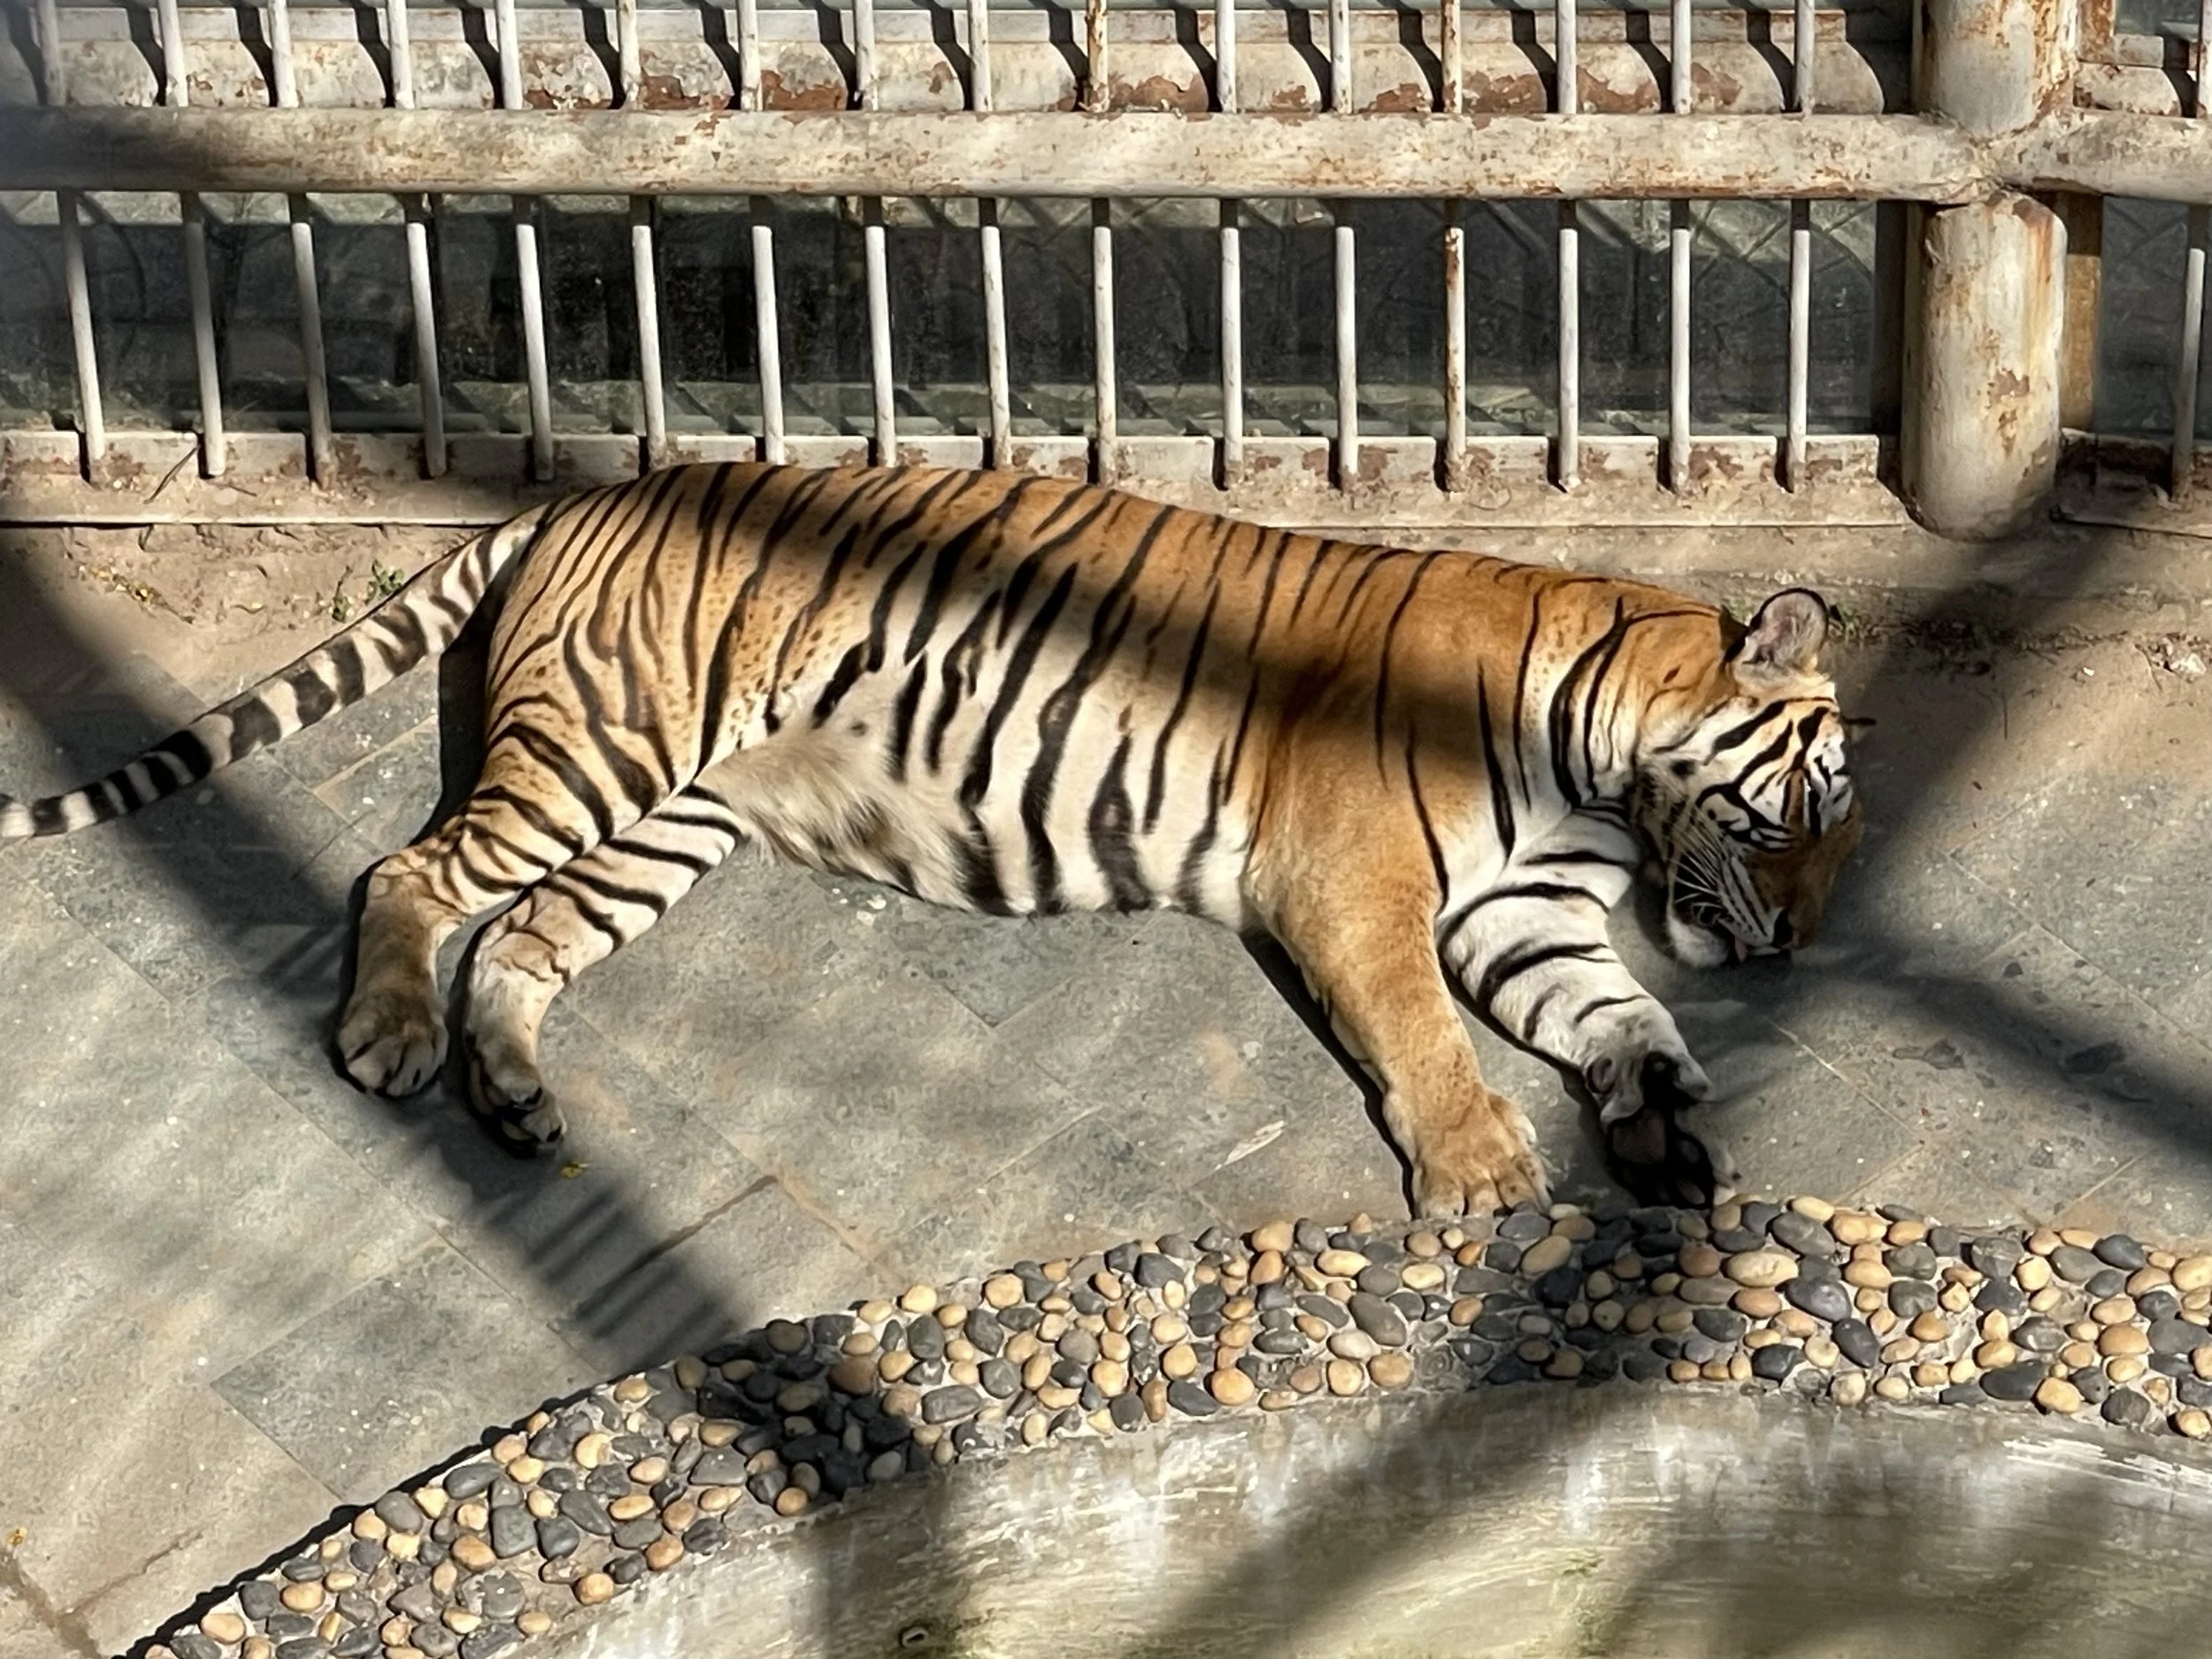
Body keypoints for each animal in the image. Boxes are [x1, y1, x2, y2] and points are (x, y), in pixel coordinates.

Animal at [0, 464, 1863, 1215]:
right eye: (1810, 815)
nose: (1801, 947)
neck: (1606, 773)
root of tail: (588, 487)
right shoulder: (1358, 884)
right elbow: (1422, 1033)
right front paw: (1481, 1174)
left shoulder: (1520, 914)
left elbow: (1617, 1013)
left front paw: (1667, 1120)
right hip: (600, 750)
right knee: (409, 872)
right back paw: (387, 1037)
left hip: (672, 819)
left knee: (520, 937)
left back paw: (517, 1098)